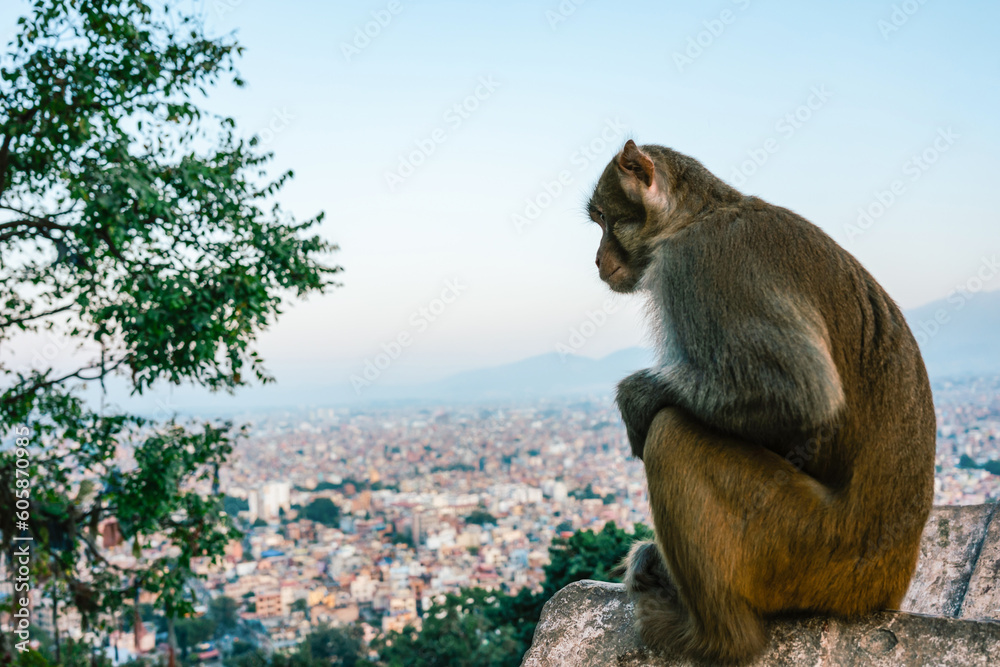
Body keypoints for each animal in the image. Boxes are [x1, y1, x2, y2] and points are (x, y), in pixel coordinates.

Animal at [588, 140, 935, 663]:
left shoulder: (701, 263)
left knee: (671, 435)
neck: (695, 216)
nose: (596, 258)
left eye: (606, 219)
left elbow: (803, 393)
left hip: (806, 548)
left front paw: (638, 397)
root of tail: (885, 586)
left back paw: (714, 638)